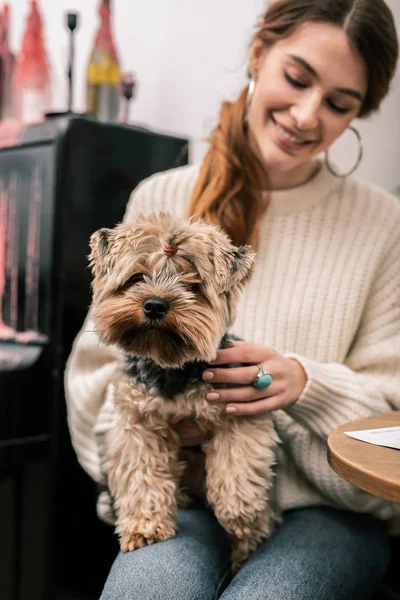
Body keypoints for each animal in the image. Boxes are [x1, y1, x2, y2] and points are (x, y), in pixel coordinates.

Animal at [89, 212, 280, 572]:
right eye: (137, 278)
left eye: (192, 285)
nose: (154, 305)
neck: (171, 366)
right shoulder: (137, 422)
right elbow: (141, 472)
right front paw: (146, 525)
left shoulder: (238, 410)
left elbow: (238, 462)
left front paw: (239, 512)